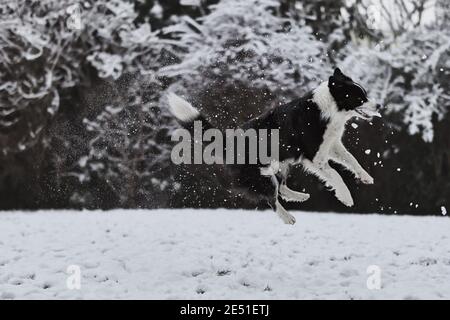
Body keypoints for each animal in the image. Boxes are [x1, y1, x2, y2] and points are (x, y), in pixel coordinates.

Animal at [168, 68, 380, 222]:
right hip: (259, 174)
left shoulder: (332, 144)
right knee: (271, 197)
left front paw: (366, 177)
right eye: (360, 97)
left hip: (282, 163)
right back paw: (287, 217)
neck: (329, 110)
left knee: (281, 187)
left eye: (365, 94)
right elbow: (335, 174)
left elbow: (351, 160)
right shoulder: (314, 156)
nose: (379, 106)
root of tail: (228, 139)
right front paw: (346, 197)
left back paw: (300, 196)